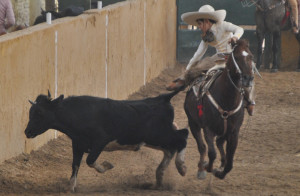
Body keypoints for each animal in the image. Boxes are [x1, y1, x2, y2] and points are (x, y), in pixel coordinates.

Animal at [184, 39, 254, 179]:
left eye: (251, 56)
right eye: (237, 57)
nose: (248, 79)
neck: (226, 100)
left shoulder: (233, 133)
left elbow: (230, 161)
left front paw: (220, 172)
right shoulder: (208, 129)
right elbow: (211, 153)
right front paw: (208, 167)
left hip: (222, 131)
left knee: (219, 143)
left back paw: (220, 164)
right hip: (193, 123)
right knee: (202, 147)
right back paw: (201, 168)